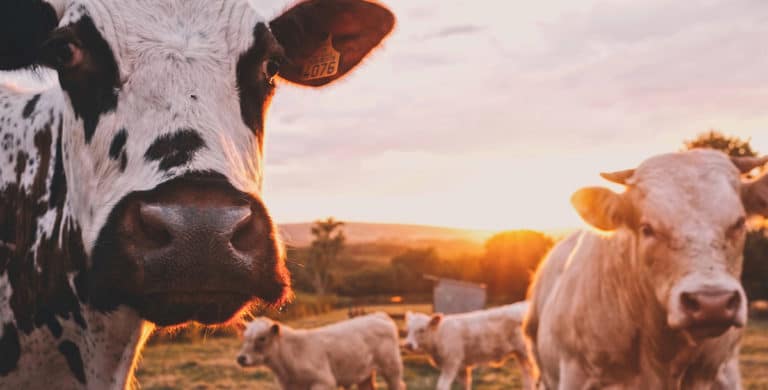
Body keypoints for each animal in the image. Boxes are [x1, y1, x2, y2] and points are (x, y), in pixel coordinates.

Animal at [236, 312, 404, 388]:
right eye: (244, 337)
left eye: (262, 338)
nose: (241, 358)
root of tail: (378, 315)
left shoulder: (324, 381)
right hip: (365, 374)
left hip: (392, 368)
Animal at [402, 302, 536, 390]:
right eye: (408, 330)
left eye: (422, 330)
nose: (408, 345)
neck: (440, 335)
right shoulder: (462, 366)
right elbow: (465, 384)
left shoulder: (452, 363)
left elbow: (442, 385)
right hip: (519, 354)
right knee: (527, 375)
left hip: (527, 351)